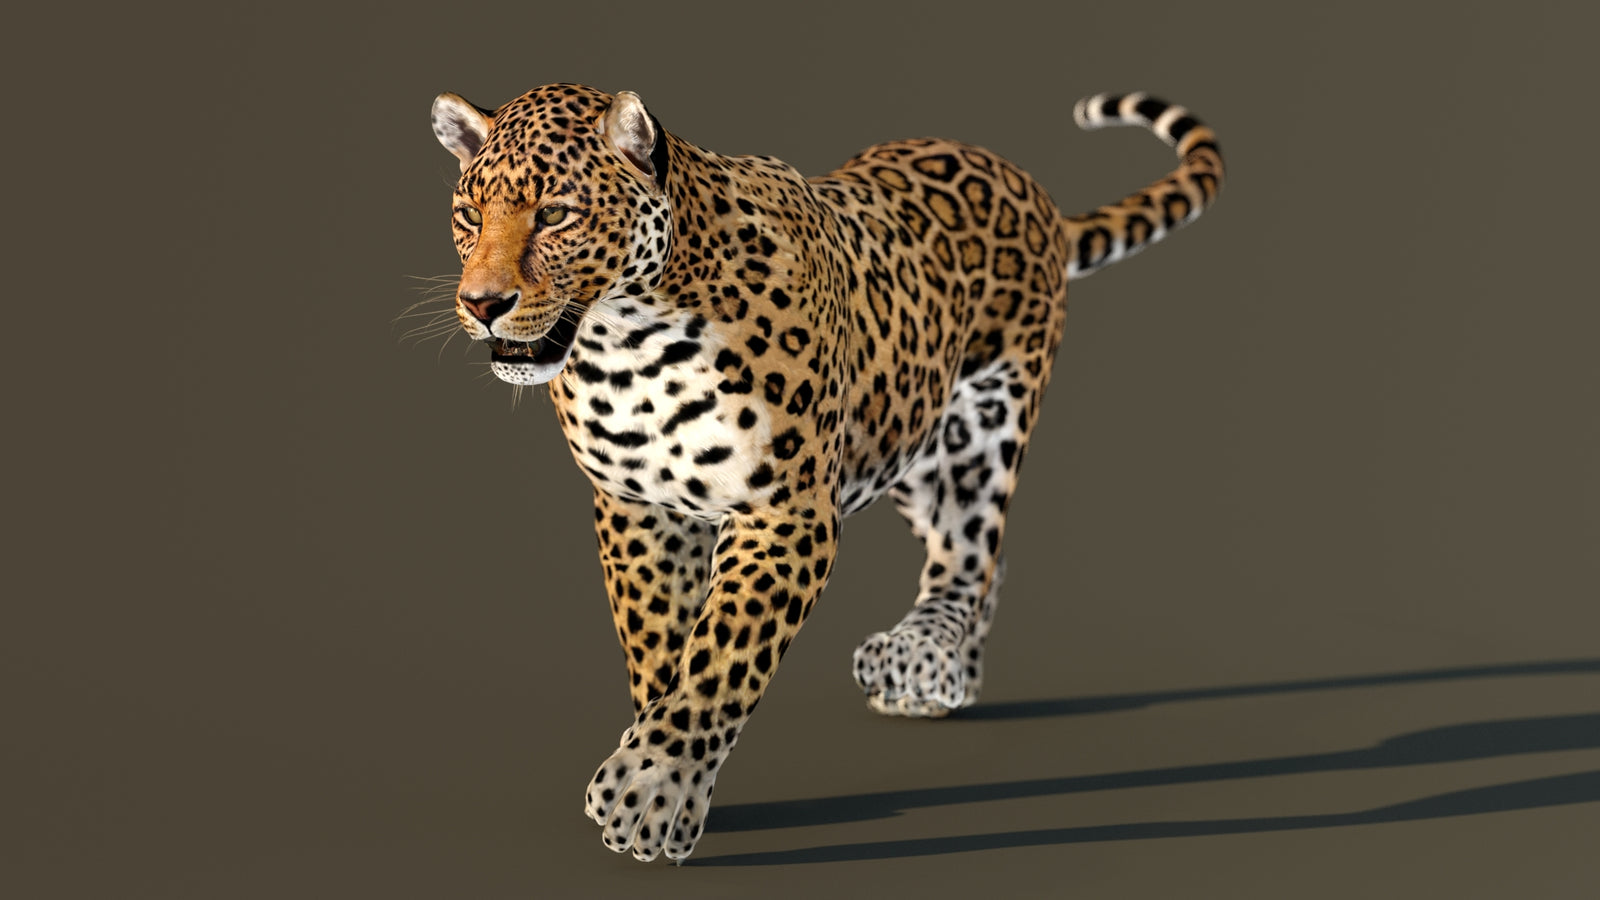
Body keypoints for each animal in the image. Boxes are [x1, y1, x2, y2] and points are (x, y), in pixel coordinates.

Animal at [426, 82, 1224, 863]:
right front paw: (664, 765)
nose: (482, 304)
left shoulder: (787, 510)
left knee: (970, 549)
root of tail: (1027, 185)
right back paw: (953, 676)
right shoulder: (638, 508)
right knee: (986, 557)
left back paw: (922, 655)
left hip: (983, 421)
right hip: (906, 436)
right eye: (469, 215)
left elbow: (723, 653)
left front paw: (652, 786)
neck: (627, 346)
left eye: (556, 214)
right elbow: (657, 645)